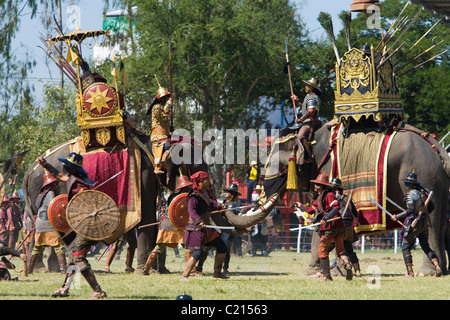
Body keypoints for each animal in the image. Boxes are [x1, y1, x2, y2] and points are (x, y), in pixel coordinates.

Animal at [262, 121, 450, 276]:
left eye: (276, 165)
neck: (312, 135)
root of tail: (437, 147)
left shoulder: (330, 170)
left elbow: (328, 218)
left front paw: (313, 273)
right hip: (438, 182)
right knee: (441, 223)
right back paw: (441, 271)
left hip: (425, 174)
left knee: (431, 223)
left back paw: (425, 272)